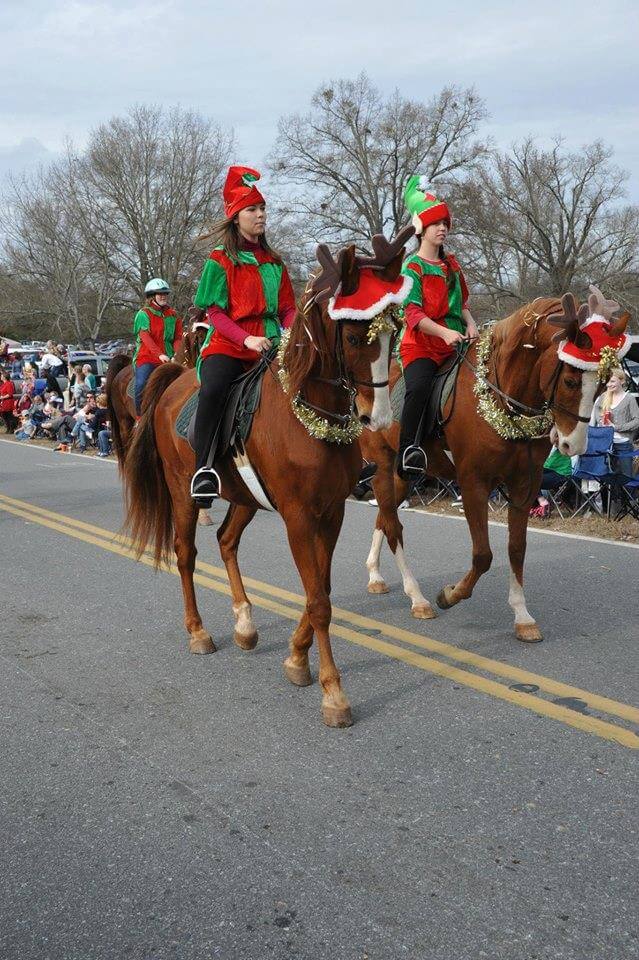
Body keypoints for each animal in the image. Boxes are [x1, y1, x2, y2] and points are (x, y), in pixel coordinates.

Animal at [118, 234, 412, 728]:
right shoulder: (298, 517)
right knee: (185, 554)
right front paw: (333, 694)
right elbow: (318, 602)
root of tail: (176, 379)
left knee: (226, 541)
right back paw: (198, 631)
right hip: (183, 492)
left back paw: (245, 624)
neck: (310, 419)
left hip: (244, 498)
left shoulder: (331, 512)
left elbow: (320, 591)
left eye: (394, 334)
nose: (381, 419)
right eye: (355, 337)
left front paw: (295, 657)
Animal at [360, 296, 632, 640]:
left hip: (405, 475)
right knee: (393, 525)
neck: (502, 400)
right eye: (570, 380)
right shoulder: (474, 483)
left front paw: (522, 616)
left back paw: (375, 576)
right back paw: (417, 597)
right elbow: (483, 555)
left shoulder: (524, 485)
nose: (573, 446)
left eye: (602, 385)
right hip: (383, 465)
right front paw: (450, 594)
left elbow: (516, 548)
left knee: (385, 517)